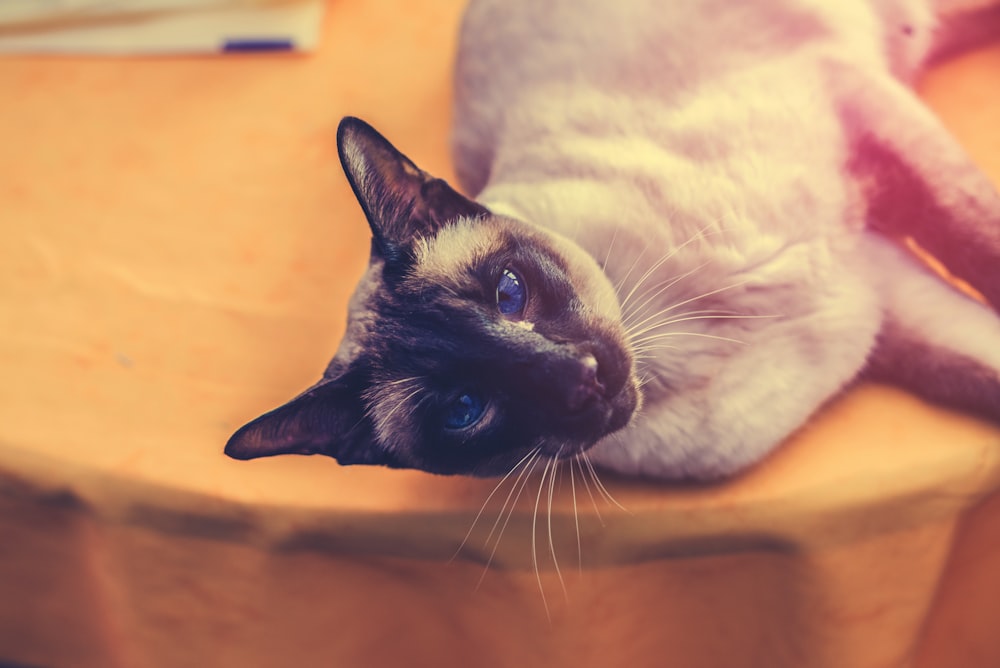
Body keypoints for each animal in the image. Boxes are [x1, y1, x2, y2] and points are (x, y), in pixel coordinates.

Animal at [227, 0, 1000, 480]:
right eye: (464, 411)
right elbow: (977, 364)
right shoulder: (887, 303)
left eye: (509, 292)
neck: (670, 351)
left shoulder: (868, 154)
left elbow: (977, 240)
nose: (582, 376)